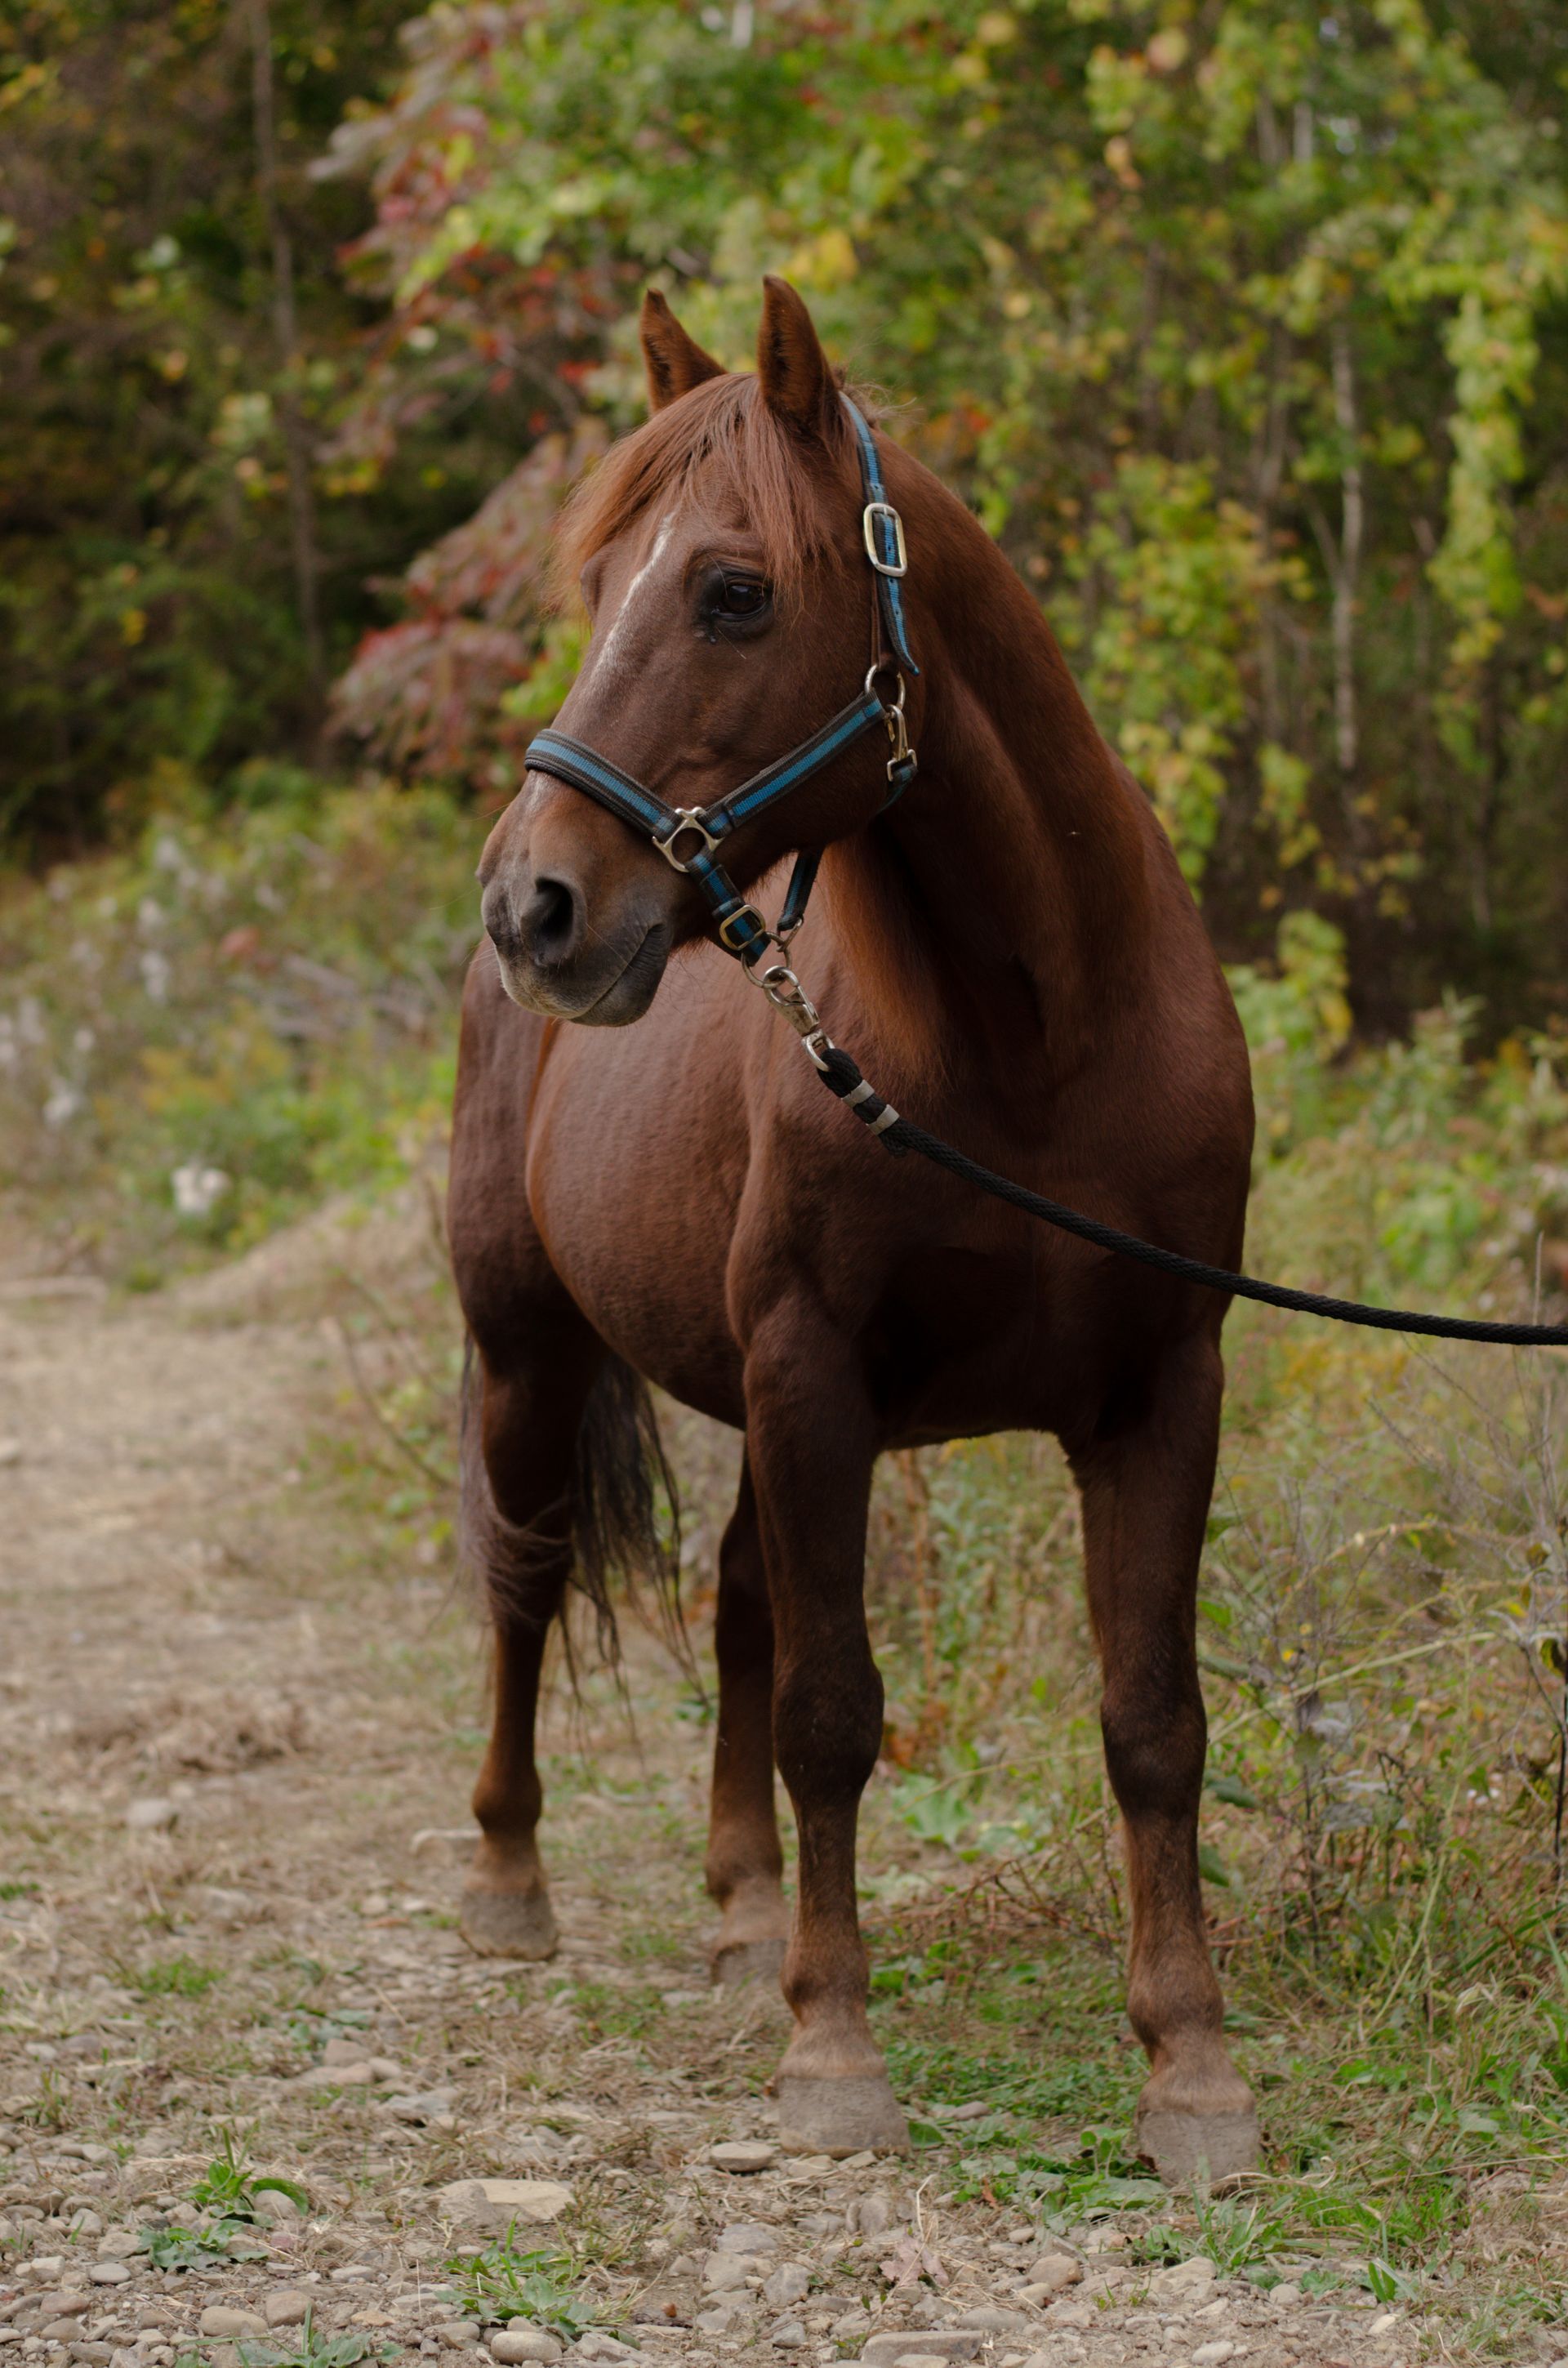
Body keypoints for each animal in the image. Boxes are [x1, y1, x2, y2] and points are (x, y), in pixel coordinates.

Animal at [447, 275, 1259, 2182]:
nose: (535, 905)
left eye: (732, 589)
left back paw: (746, 1918)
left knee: (741, 1604)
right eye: (600, 582)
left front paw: (1191, 2067)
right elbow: (835, 1707)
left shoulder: (1159, 1395)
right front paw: (836, 2051)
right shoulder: (814, 1378)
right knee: (526, 1577)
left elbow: (1153, 1722)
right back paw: (513, 1879)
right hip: (530, 1354)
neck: (1034, 1042)